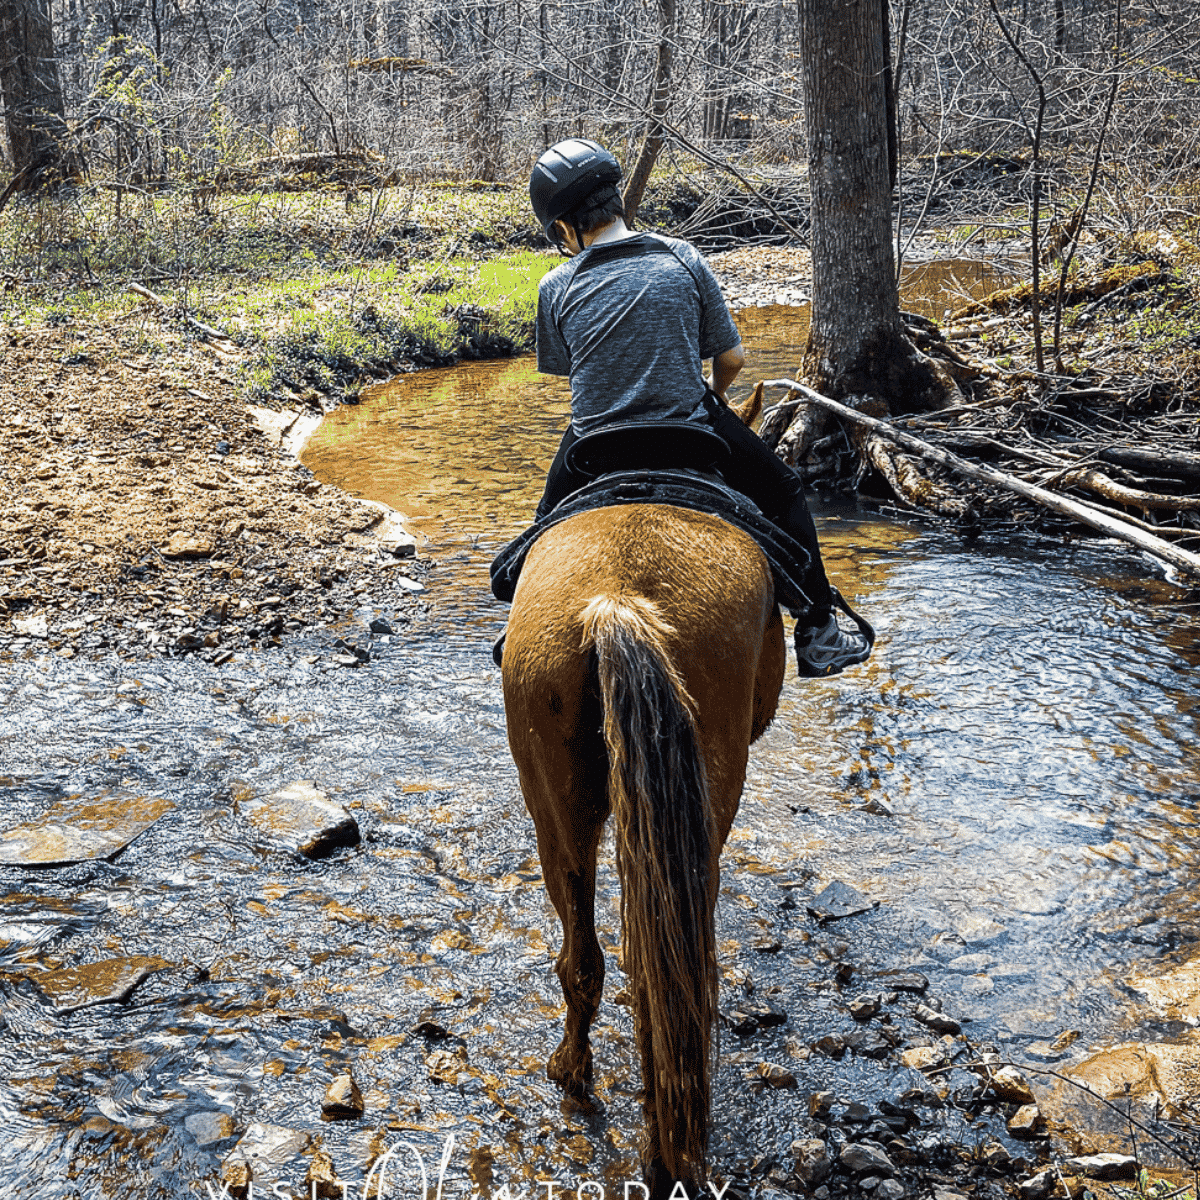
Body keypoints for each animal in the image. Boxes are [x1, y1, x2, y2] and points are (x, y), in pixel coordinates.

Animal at [499, 388, 787, 1195]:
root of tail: (616, 602)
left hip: (557, 812)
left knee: (590, 962)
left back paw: (577, 1078)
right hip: (701, 808)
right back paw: (659, 1143)